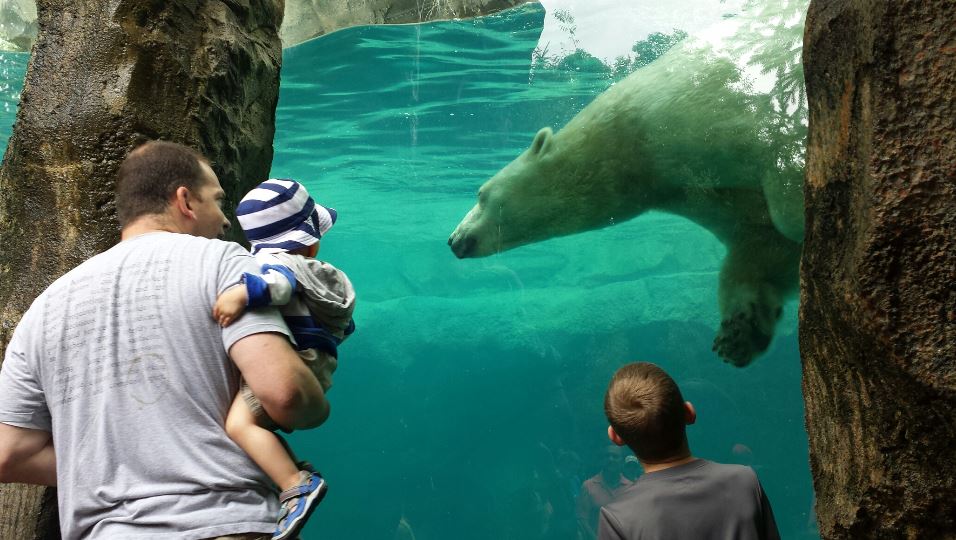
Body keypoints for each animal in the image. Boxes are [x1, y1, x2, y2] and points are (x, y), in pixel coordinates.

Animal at [447, 25, 806, 367]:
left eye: (481, 194)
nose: (453, 240)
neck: (635, 132)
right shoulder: (692, 188)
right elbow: (763, 246)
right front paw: (739, 334)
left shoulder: (718, 107)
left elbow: (786, 193)